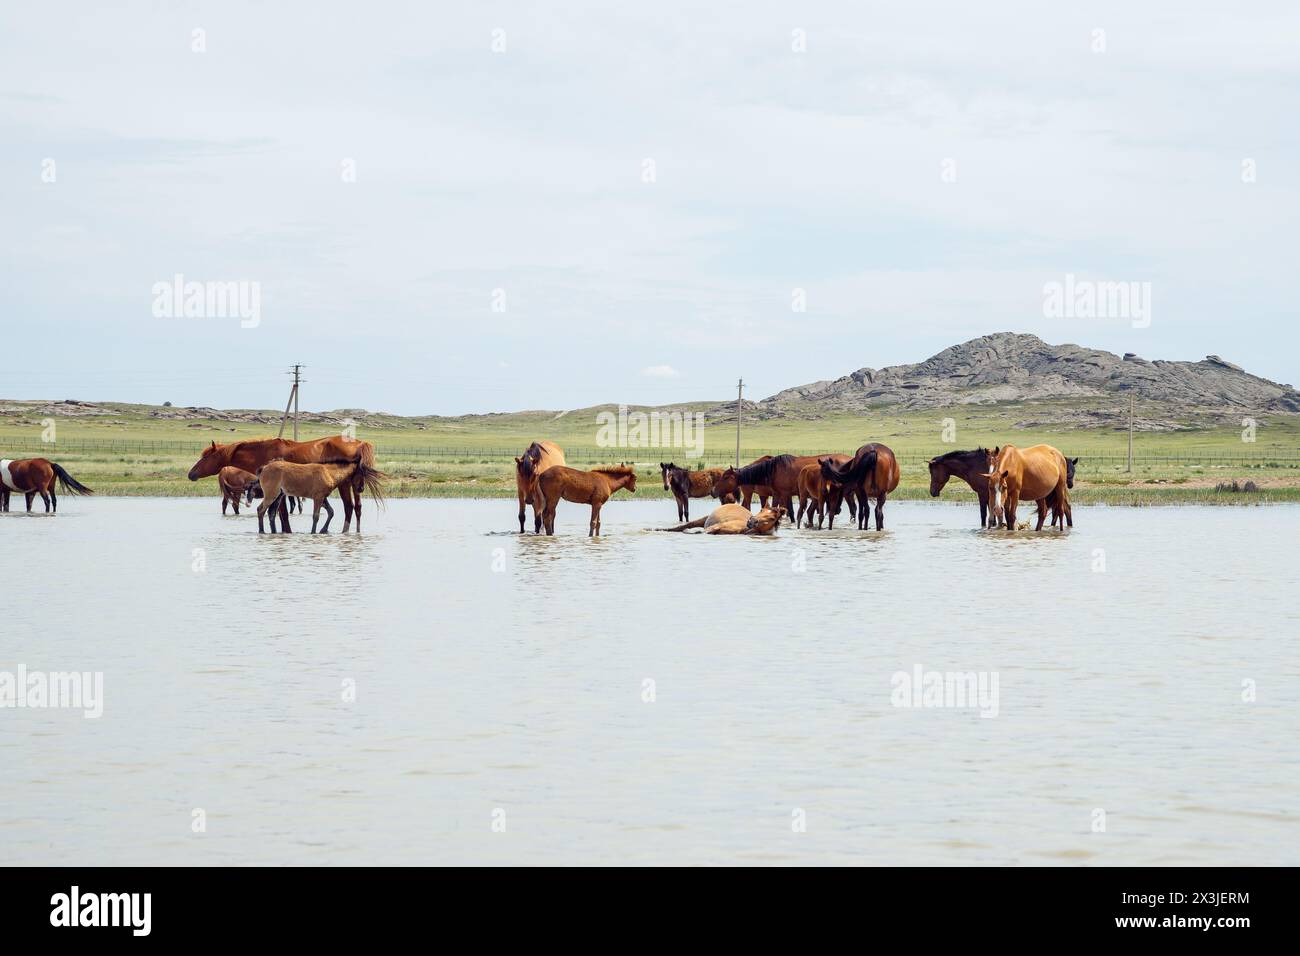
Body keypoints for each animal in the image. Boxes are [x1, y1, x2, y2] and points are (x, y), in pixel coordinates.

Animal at [188, 436, 375, 532]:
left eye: (205, 456)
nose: (191, 474)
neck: (262, 453)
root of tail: (359, 442)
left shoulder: (280, 494)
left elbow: (282, 515)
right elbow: (279, 514)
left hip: (347, 485)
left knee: (349, 508)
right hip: (354, 485)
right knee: (357, 508)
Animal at [255, 455, 386, 534]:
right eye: (361, 473)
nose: (361, 489)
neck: (328, 473)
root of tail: (264, 468)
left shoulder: (323, 498)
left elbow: (331, 512)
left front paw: (323, 530)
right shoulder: (318, 498)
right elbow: (316, 516)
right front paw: (314, 532)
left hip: (278, 496)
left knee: (271, 513)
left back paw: (273, 532)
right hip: (271, 495)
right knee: (260, 510)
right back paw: (261, 531)